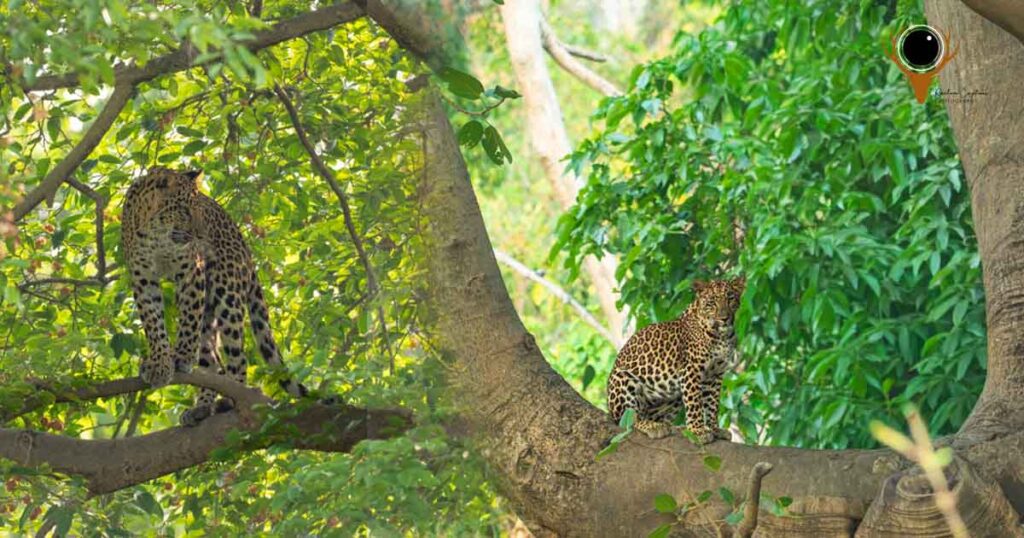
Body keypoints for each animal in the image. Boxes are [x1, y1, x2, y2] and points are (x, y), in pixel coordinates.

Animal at [121, 166, 307, 426]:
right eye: (185, 210)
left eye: (198, 208)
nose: (201, 235)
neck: (155, 233)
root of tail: (246, 249)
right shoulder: (143, 279)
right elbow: (154, 325)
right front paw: (160, 363)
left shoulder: (191, 271)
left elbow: (189, 323)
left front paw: (182, 356)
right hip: (209, 310)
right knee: (214, 361)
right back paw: (201, 407)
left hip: (226, 293)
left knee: (238, 358)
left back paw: (231, 400)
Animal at [606, 276, 745, 444]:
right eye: (711, 302)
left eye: (730, 298)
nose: (724, 318)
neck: (721, 335)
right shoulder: (691, 369)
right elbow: (694, 403)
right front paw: (698, 431)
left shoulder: (715, 375)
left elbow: (712, 404)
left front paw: (714, 429)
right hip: (623, 379)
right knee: (629, 420)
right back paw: (652, 426)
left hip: (673, 396)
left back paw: (673, 427)